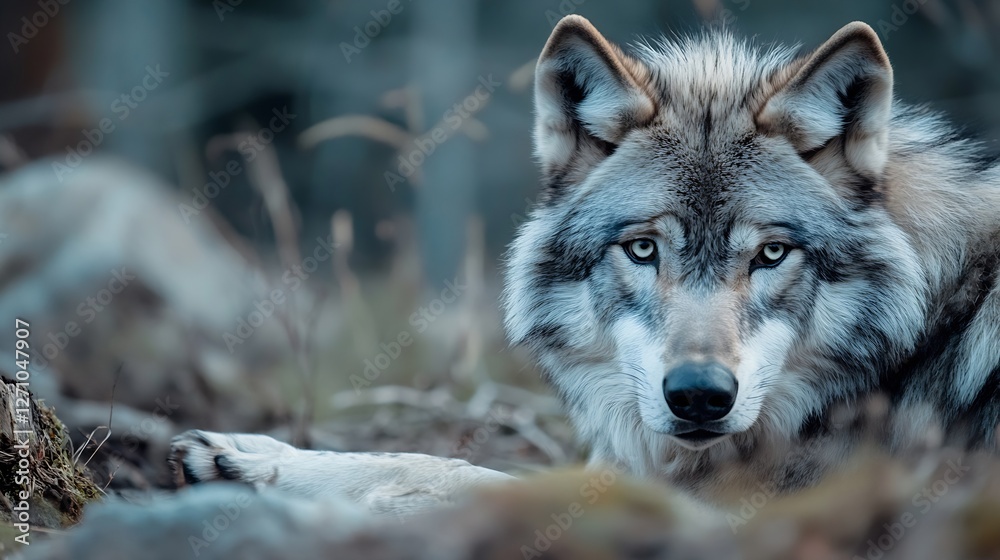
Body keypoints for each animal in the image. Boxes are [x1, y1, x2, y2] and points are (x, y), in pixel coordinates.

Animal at [170, 16, 1000, 509]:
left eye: (771, 254)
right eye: (642, 248)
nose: (699, 396)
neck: (924, 334)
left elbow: (449, 471)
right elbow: (412, 456)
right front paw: (246, 454)